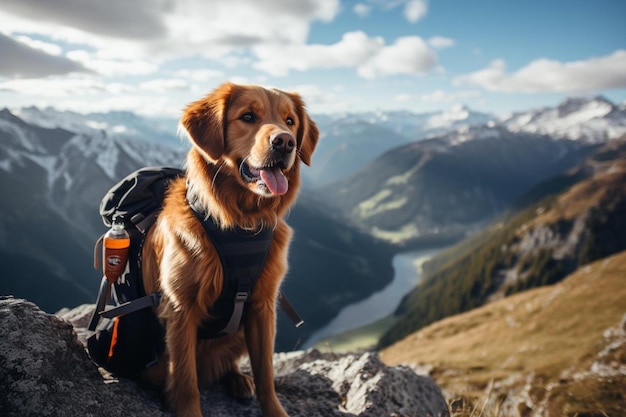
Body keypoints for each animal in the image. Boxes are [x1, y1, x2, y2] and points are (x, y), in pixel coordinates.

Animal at [140, 82, 316, 416]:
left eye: (290, 122)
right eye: (247, 116)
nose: (285, 142)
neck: (240, 223)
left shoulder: (262, 306)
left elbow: (265, 373)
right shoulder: (181, 308)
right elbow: (185, 381)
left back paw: (238, 380)